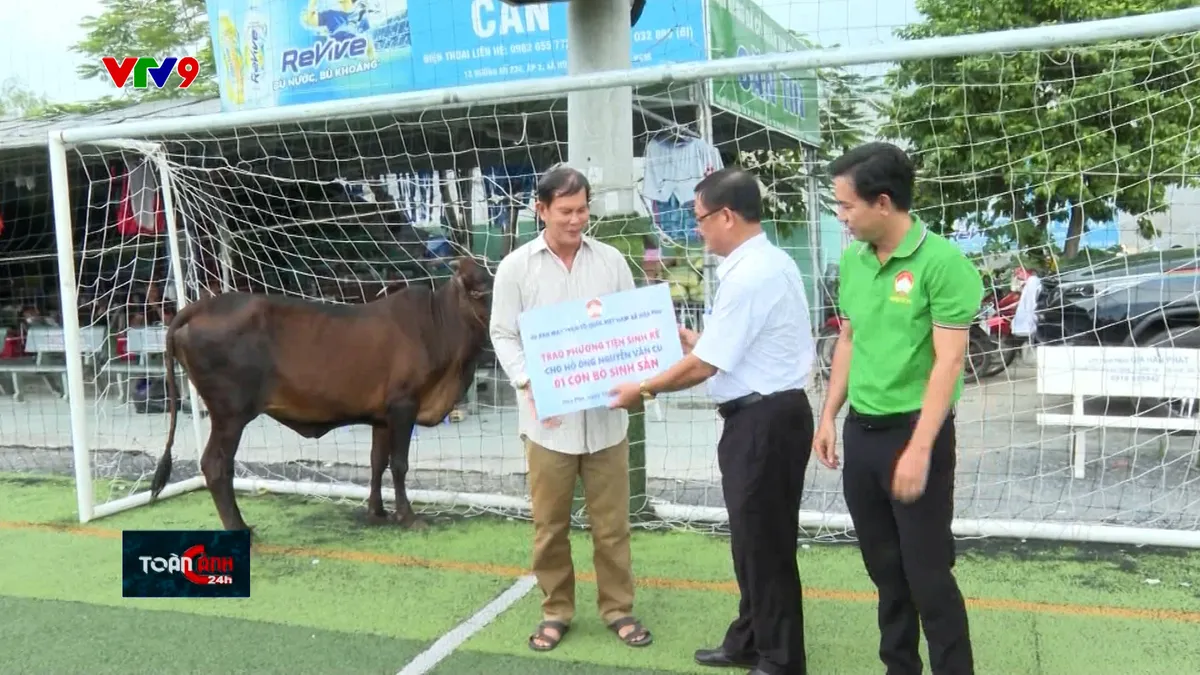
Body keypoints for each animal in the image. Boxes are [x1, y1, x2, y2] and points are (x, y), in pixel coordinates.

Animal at [146, 253, 492, 530]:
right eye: (480, 288)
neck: (439, 327)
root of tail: (202, 305)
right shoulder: (404, 405)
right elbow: (399, 464)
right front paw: (407, 517)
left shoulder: (382, 416)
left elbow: (377, 461)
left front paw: (377, 512)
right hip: (230, 413)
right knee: (216, 466)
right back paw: (240, 528)